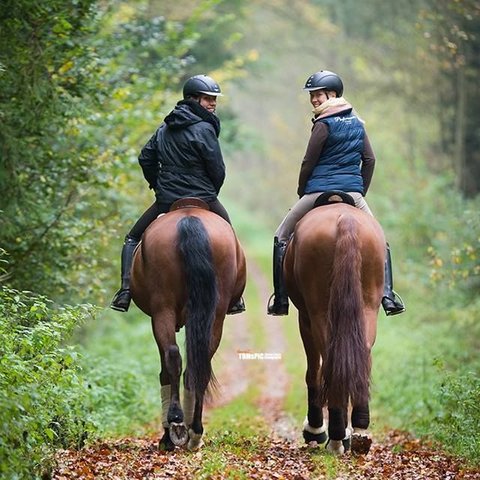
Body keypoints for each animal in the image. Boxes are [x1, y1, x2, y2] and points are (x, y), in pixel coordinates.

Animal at [129, 198, 246, 450]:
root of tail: (190, 217)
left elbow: (164, 371)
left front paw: (167, 435)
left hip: (162, 308)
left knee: (173, 358)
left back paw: (177, 423)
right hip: (214, 313)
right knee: (199, 365)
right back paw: (194, 431)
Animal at [284, 197, 386, 456]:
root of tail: (345, 218)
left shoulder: (305, 319)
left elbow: (313, 372)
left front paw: (315, 429)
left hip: (319, 312)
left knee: (329, 362)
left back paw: (337, 438)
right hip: (368, 307)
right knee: (362, 355)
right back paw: (359, 432)